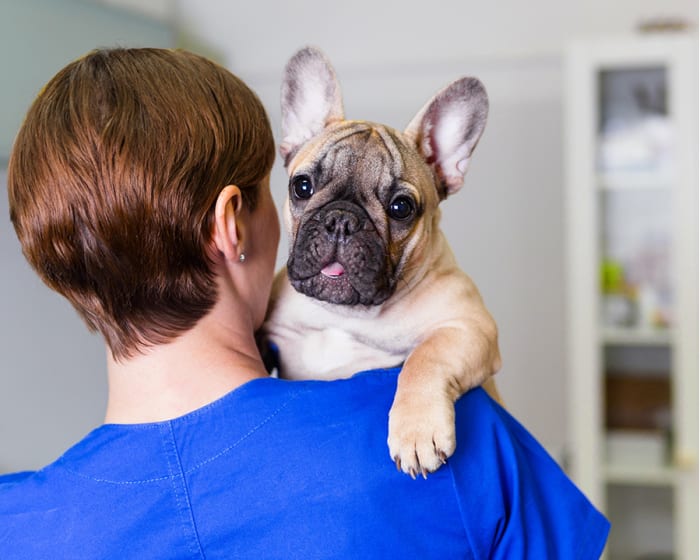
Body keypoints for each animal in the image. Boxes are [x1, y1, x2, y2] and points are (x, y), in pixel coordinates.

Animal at [260, 46, 500, 480]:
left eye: (401, 208)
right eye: (301, 186)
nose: (341, 221)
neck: (346, 317)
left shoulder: (470, 327)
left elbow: (424, 357)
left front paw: (418, 430)